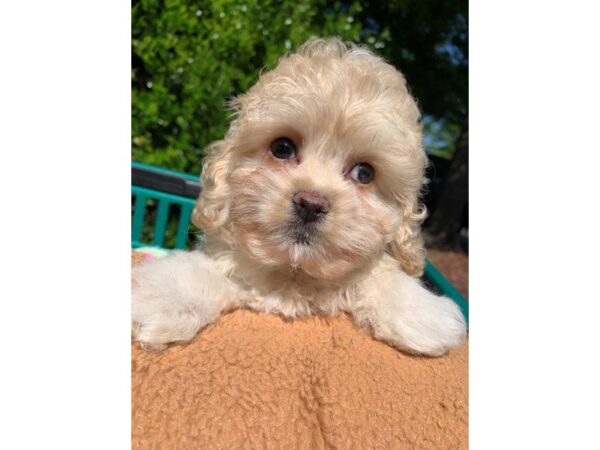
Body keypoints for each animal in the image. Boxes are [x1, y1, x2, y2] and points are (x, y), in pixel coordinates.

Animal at [134, 37, 466, 356]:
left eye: (364, 174)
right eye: (282, 147)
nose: (311, 203)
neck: (295, 274)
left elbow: (379, 274)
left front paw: (423, 314)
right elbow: (201, 272)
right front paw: (158, 295)